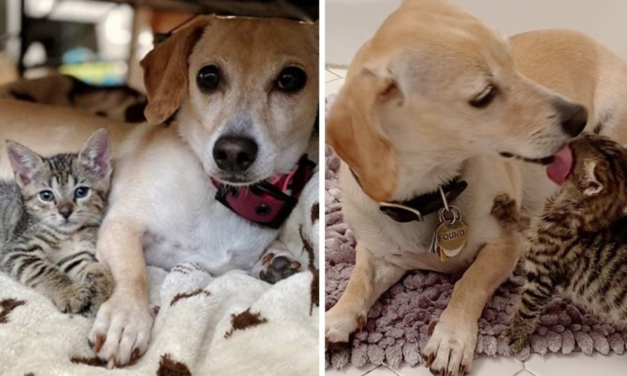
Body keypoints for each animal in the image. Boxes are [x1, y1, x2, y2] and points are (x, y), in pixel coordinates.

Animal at [0, 129, 114, 314]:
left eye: (81, 192)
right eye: (46, 195)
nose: (65, 212)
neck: (69, 235)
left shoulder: (73, 256)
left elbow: (94, 268)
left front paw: (100, 291)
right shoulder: (15, 251)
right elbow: (44, 270)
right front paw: (69, 292)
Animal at [494, 134, 627, 354]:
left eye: (573, 153)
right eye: (594, 137)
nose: (577, 133)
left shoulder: (542, 274)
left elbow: (527, 307)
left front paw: (516, 334)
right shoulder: (536, 229)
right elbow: (526, 222)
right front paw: (506, 210)